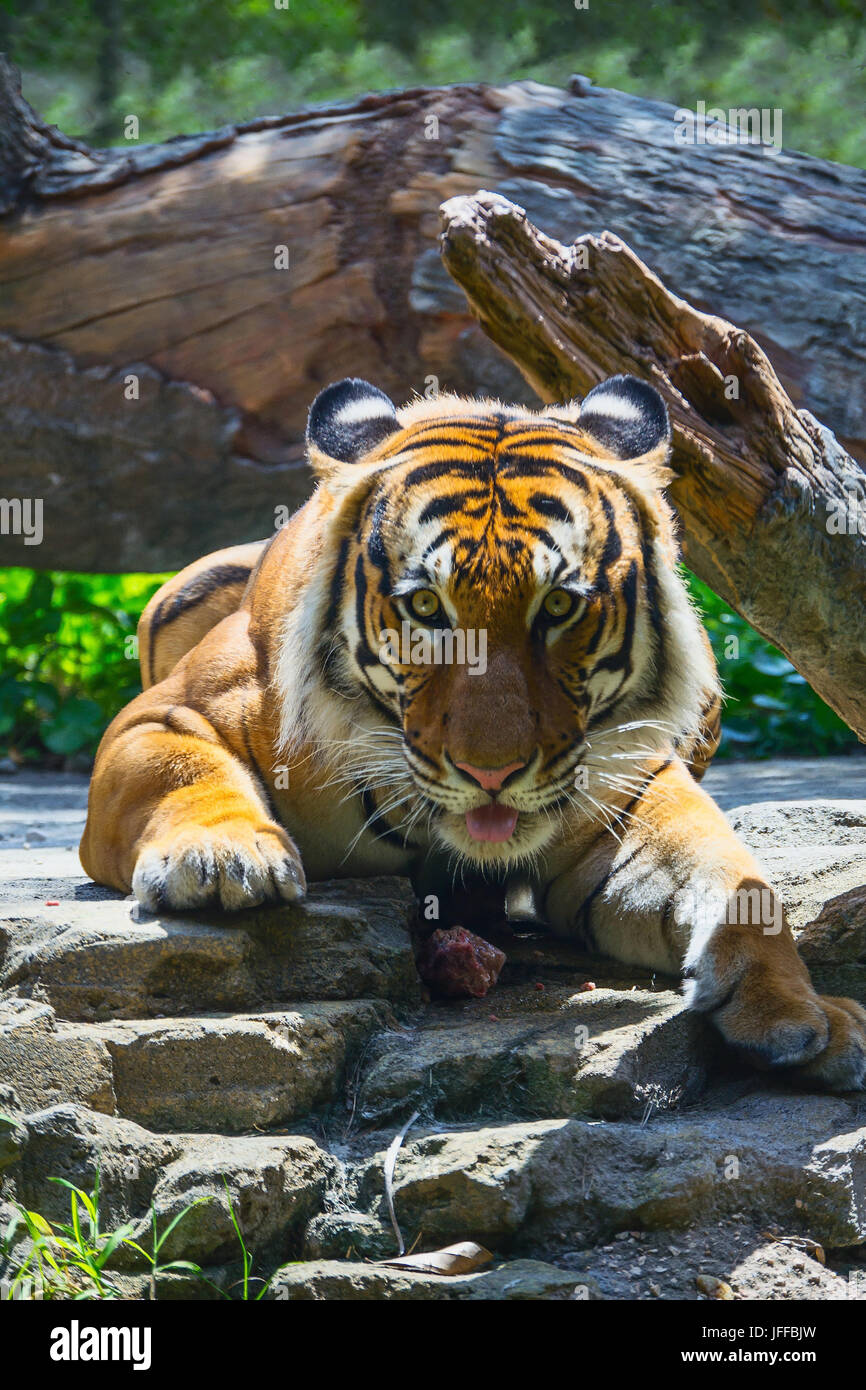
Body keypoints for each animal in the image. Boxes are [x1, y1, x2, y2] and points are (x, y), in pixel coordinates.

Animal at [81, 378, 866, 1084]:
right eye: (426, 606)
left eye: (559, 607)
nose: (492, 774)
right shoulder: (168, 711)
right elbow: (178, 769)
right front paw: (221, 861)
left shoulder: (629, 785)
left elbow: (736, 877)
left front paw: (806, 1013)